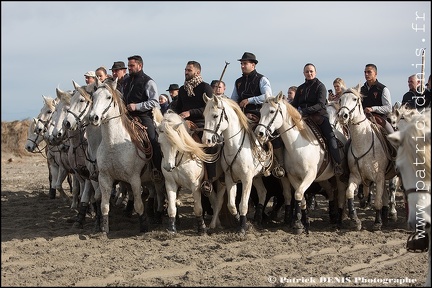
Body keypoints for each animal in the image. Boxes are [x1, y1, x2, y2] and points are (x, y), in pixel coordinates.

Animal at [202, 94, 276, 234]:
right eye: (204, 115)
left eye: (215, 115)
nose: (206, 140)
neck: (235, 147)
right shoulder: (229, 178)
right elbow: (231, 205)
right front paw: (239, 220)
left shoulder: (246, 179)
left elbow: (243, 205)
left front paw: (242, 227)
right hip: (255, 177)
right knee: (262, 192)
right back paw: (257, 219)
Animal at [255, 93, 350, 233]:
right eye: (261, 111)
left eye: (272, 111)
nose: (259, 133)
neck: (297, 146)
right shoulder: (293, 177)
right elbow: (300, 197)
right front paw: (303, 222)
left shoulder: (309, 176)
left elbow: (299, 194)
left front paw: (298, 224)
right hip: (323, 178)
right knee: (331, 191)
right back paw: (333, 216)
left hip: (338, 177)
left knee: (341, 193)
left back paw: (339, 220)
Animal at [340, 84, 396, 231]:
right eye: (340, 99)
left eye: (355, 99)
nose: (342, 115)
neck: (362, 142)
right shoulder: (355, 176)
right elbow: (349, 193)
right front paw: (355, 220)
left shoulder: (379, 177)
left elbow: (377, 201)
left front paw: (377, 222)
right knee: (385, 195)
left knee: (390, 191)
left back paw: (391, 214)